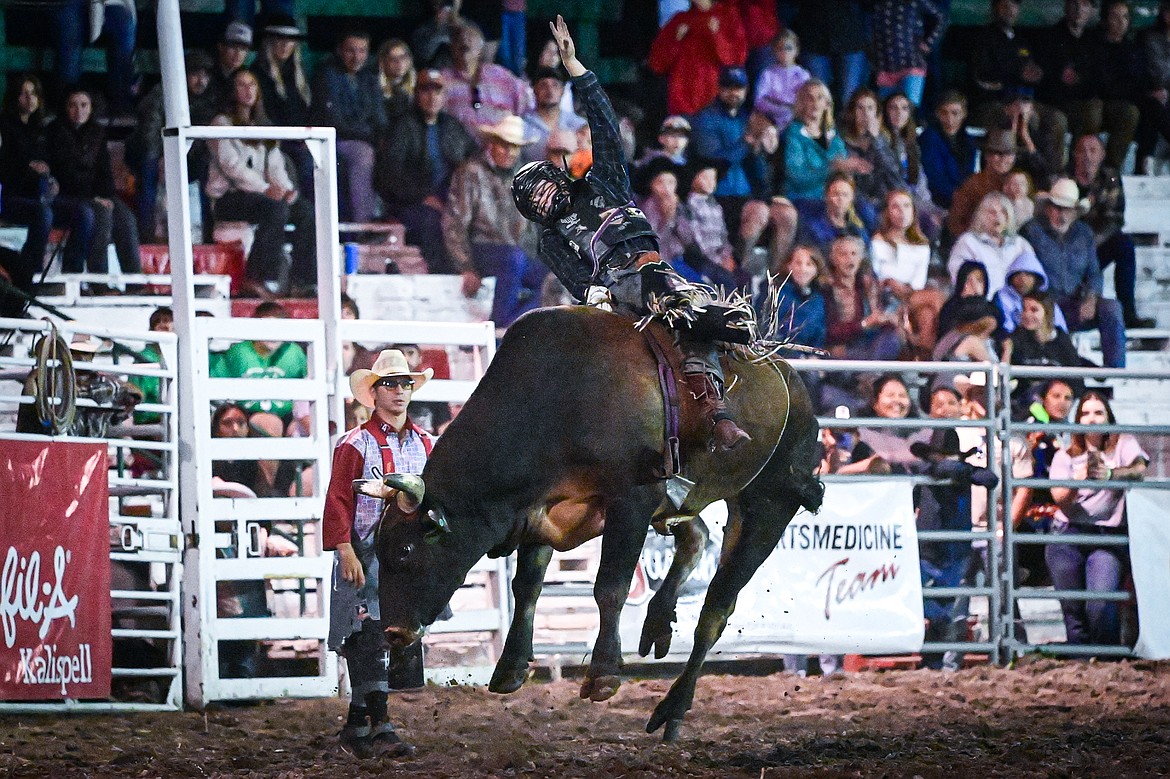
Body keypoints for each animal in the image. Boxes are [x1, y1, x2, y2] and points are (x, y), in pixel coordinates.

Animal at [360, 304, 819, 739]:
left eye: (405, 550)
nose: (394, 632)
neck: (559, 399)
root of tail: (792, 382)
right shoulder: (538, 509)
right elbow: (527, 585)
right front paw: (511, 666)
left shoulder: (632, 501)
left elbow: (610, 588)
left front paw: (603, 673)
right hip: (685, 497)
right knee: (697, 536)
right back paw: (657, 623)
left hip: (769, 504)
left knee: (717, 608)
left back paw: (673, 706)